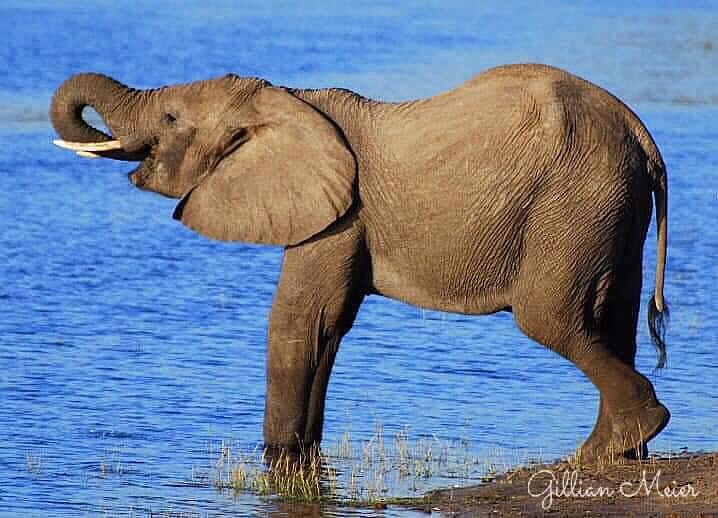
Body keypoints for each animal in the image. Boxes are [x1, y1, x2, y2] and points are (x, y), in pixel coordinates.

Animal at [50, 63, 669, 461]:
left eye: (172, 118)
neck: (284, 99)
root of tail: (642, 135)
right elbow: (330, 325)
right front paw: (299, 458)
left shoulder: (339, 211)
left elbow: (300, 320)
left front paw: (275, 454)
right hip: (610, 207)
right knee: (612, 320)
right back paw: (622, 450)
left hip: (572, 202)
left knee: (550, 319)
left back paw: (603, 448)